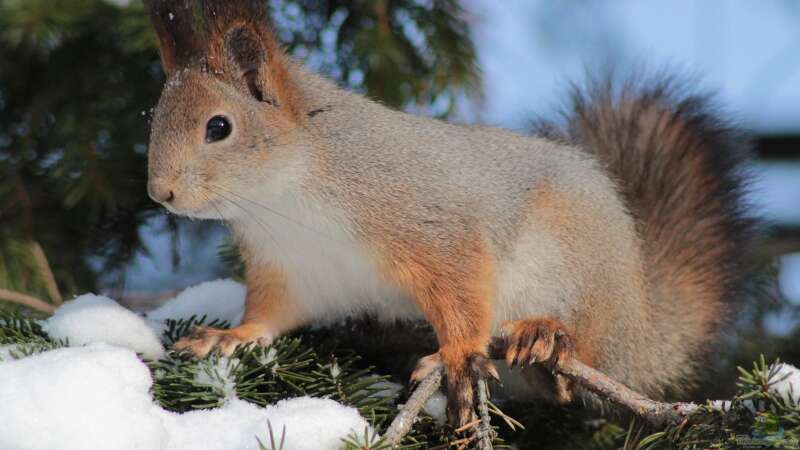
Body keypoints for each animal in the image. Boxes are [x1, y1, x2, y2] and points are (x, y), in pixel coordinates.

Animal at [145, 0, 756, 428]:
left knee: (587, 352)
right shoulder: (292, 270)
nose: (160, 192)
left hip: (574, 267)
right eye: (154, 118)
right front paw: (230, 337)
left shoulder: (431, 226)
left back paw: (547, 335)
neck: (284, 198)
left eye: (219, 127)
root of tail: (641, 317)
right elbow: (271, 315)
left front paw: (459, 356)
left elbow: (461, 293)